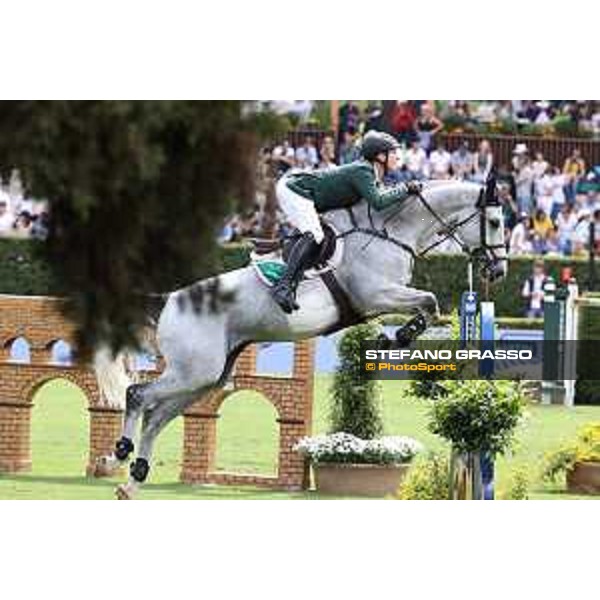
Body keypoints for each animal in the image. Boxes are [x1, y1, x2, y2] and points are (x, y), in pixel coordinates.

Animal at [94, 176, 506, 500]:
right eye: (496, 221)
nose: (498, 271)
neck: (391, 232)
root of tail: (169, 300)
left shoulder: (381, 300)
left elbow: (428, 307)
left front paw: (393, 339)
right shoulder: (375, 294)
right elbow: (430, 302)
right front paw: (396, 338)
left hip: (204, 378)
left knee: (155, 416)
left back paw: (131, 480)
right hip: (194, 372)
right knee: (138, 396)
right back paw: (117, 456)